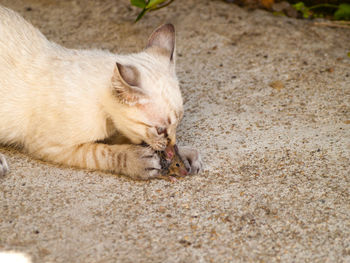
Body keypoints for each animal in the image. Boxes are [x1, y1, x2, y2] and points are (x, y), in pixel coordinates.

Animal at [0, 5, 201, 179]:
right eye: (160, 130)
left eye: (177, 125)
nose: (170, 147)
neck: (108, 120)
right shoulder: (49, 145)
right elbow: (99, 152)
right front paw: (138, 159)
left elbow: (127, 137)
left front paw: (182, 153)